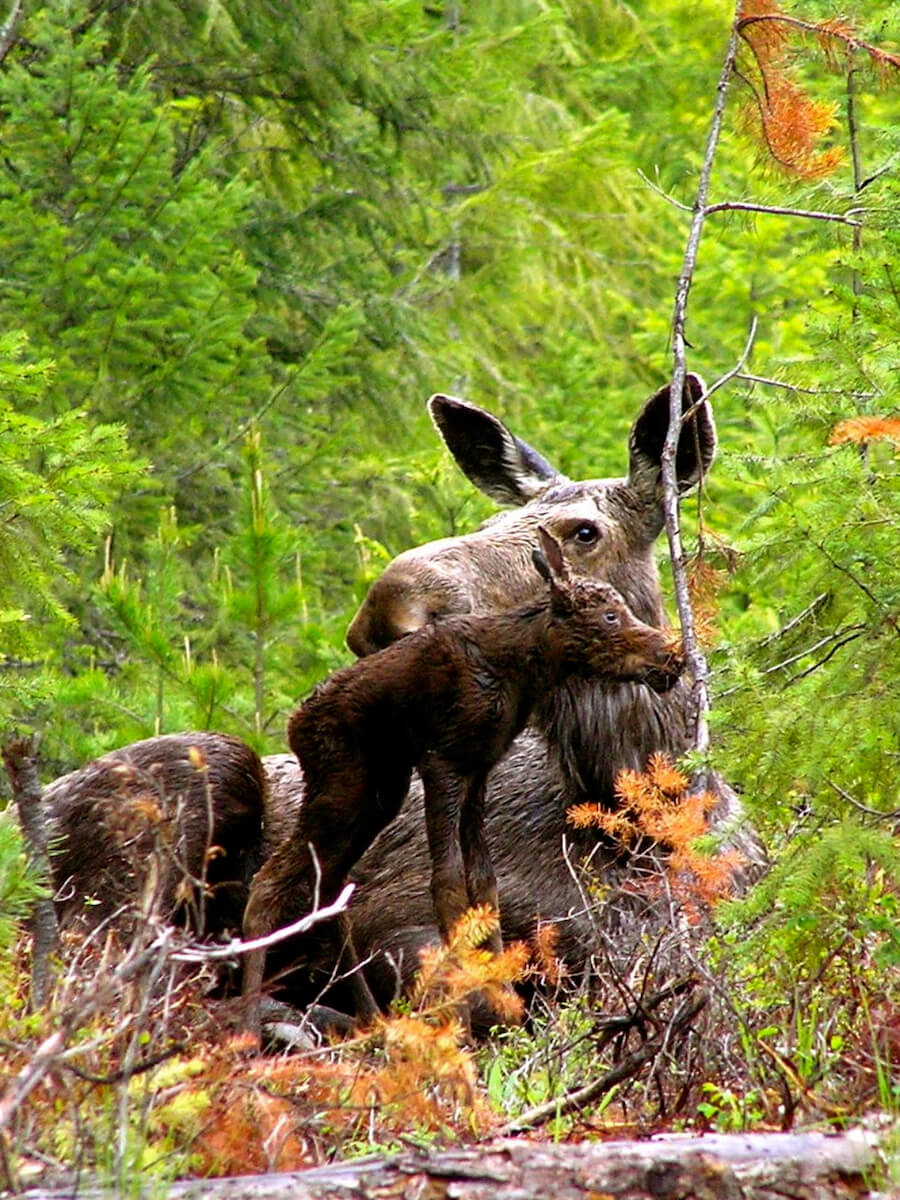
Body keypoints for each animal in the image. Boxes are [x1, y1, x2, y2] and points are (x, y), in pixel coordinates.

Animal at [241, 530, 681, 1027]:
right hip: (343, 784)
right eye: (610, 615)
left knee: (329, 890)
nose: (671, 658)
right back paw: (250, 1021)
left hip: (377, 792)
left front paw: (506, 1005)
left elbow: (484, 885)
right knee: (269, 882)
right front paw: (461, 1012)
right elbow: (448, 885)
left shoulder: (477, 769)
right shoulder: (443, 762)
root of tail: (295, 725)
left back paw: (371, 1016)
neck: (524, 671)